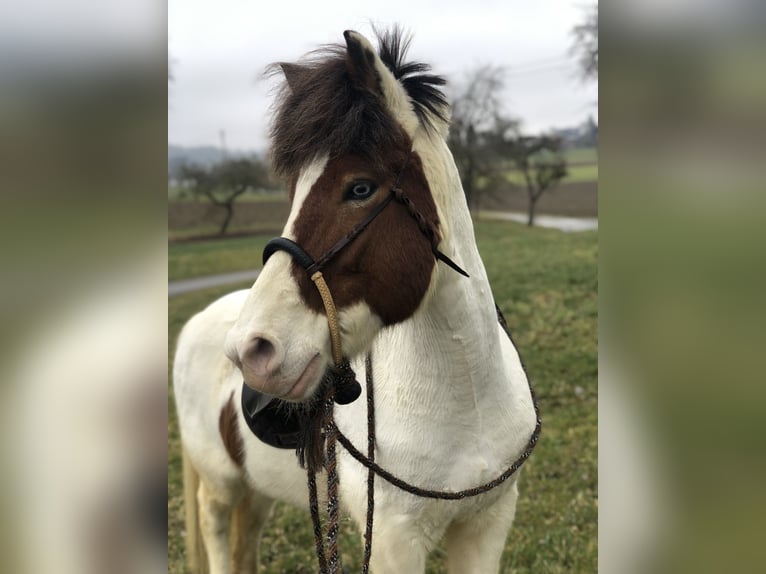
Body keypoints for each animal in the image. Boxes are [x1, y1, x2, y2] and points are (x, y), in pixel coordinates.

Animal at [173, 27, 538, 573]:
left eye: (360, 188)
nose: (251, 351)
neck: (467, 397)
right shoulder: (394, 540)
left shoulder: (487, 522)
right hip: (220, 484)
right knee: (217, 531)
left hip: (257, 487)